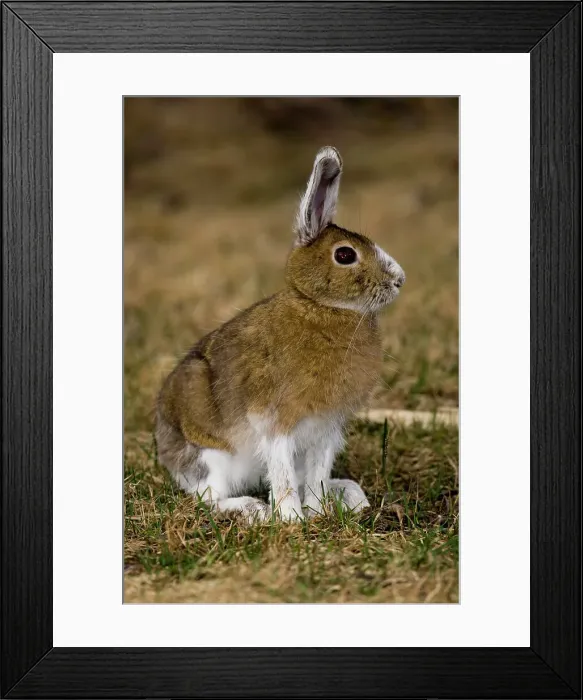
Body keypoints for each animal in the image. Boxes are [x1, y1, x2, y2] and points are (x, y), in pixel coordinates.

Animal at [155, 146, 405, 522]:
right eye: (345, 254)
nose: (399, 280)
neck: (322, 307)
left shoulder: (326, 427)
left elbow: (317, 472)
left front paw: (316, 511)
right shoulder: (275, 419)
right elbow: (282, 469)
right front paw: (290, 518)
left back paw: (348, 495)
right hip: (210, 455)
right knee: (209, 498)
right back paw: (254, 510)